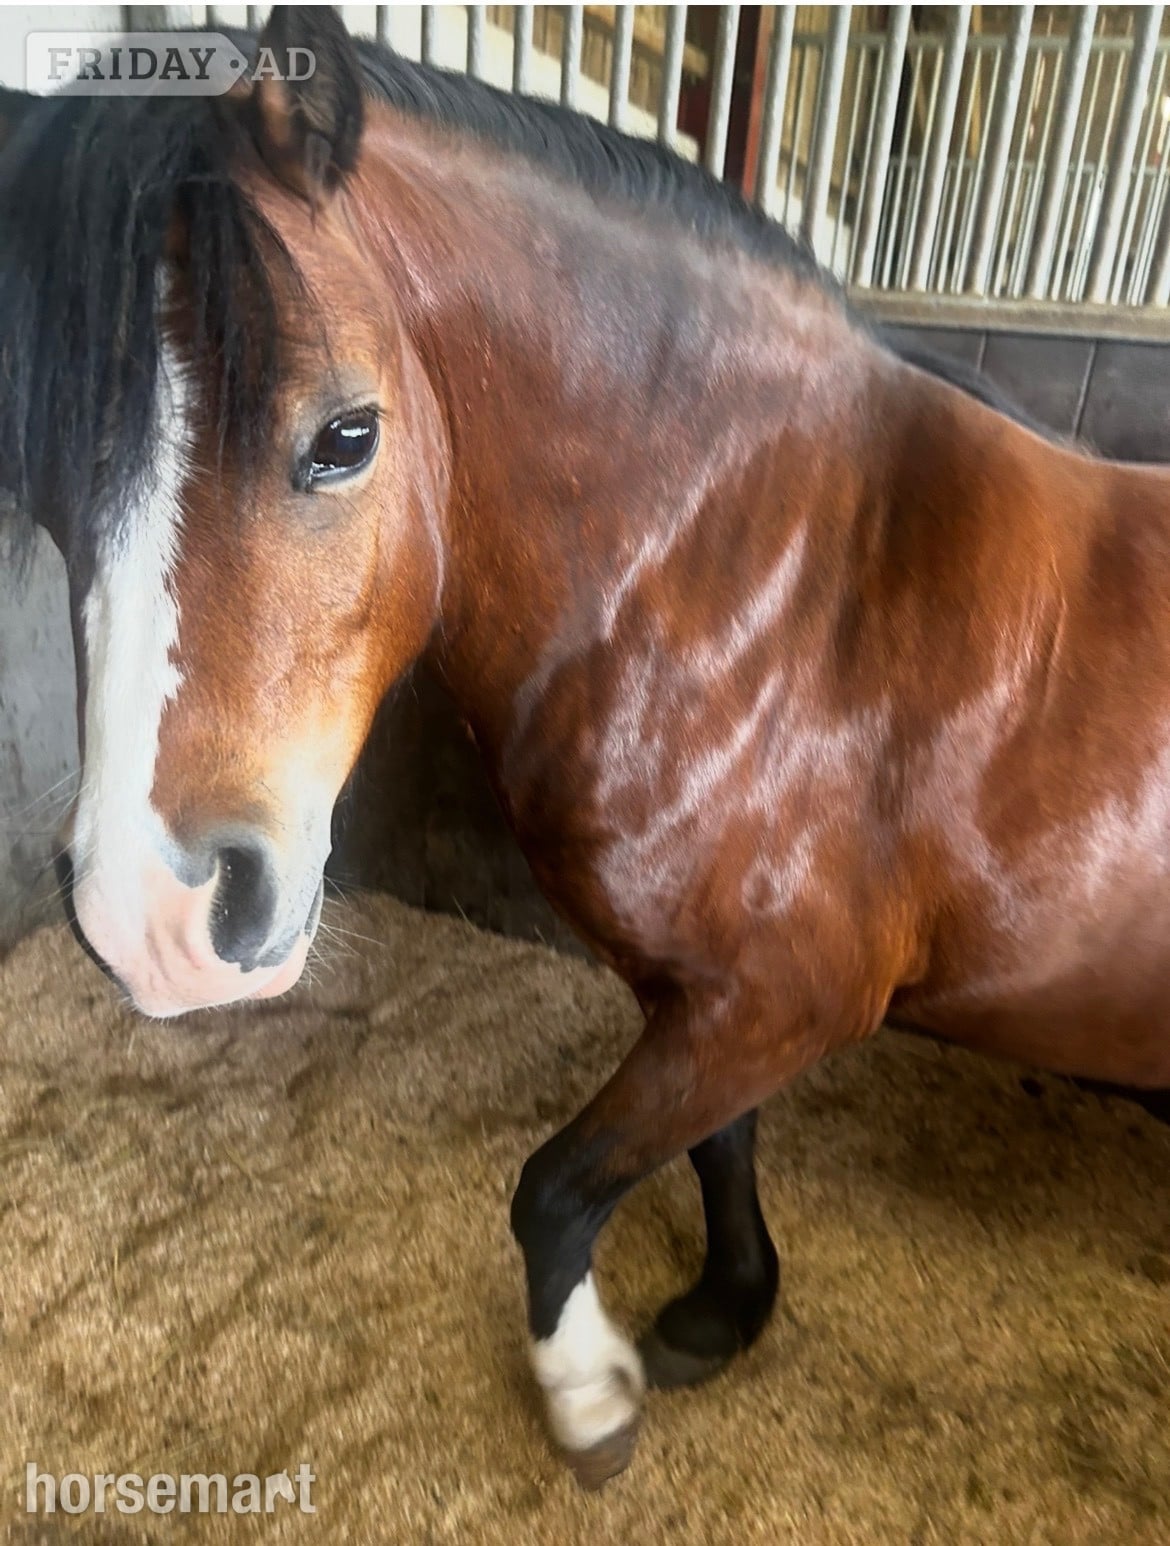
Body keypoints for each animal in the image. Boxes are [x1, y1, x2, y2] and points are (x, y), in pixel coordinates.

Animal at [2, 6, 1168, 1489]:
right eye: (43, 475)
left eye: (345, 436)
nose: (150, 918)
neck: (789, 594)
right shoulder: (712, 994)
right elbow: (711, 1148)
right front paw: (728, 1304)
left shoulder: (782, 998)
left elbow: (555, 1187)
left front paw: (589, 1391)